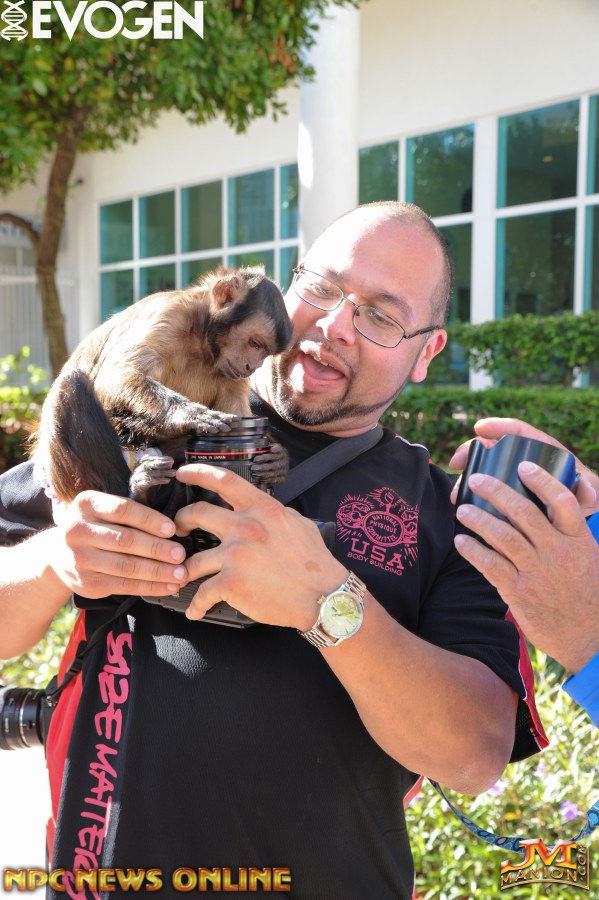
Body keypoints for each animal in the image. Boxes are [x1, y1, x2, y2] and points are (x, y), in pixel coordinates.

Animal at [31, 266, 292, 516]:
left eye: (264, 353)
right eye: (255, 344)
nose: (252, 367)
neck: (202, 344)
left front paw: (277, 459)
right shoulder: (170, 315)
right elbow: (116, 375)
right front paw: (191, 415)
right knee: (70, 384)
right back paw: (135, 496)